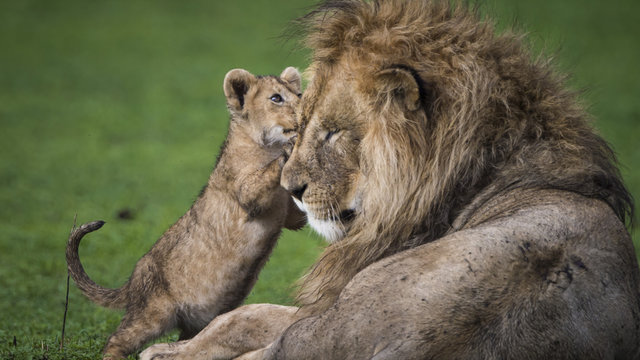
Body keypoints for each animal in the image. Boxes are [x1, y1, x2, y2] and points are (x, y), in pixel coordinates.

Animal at [141, 1, 640, 358]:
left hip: (335, 317)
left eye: (333, 131)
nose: (291, 191)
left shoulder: (325, 307)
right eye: (301, 124)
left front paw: (170, 350)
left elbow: (245, 316)